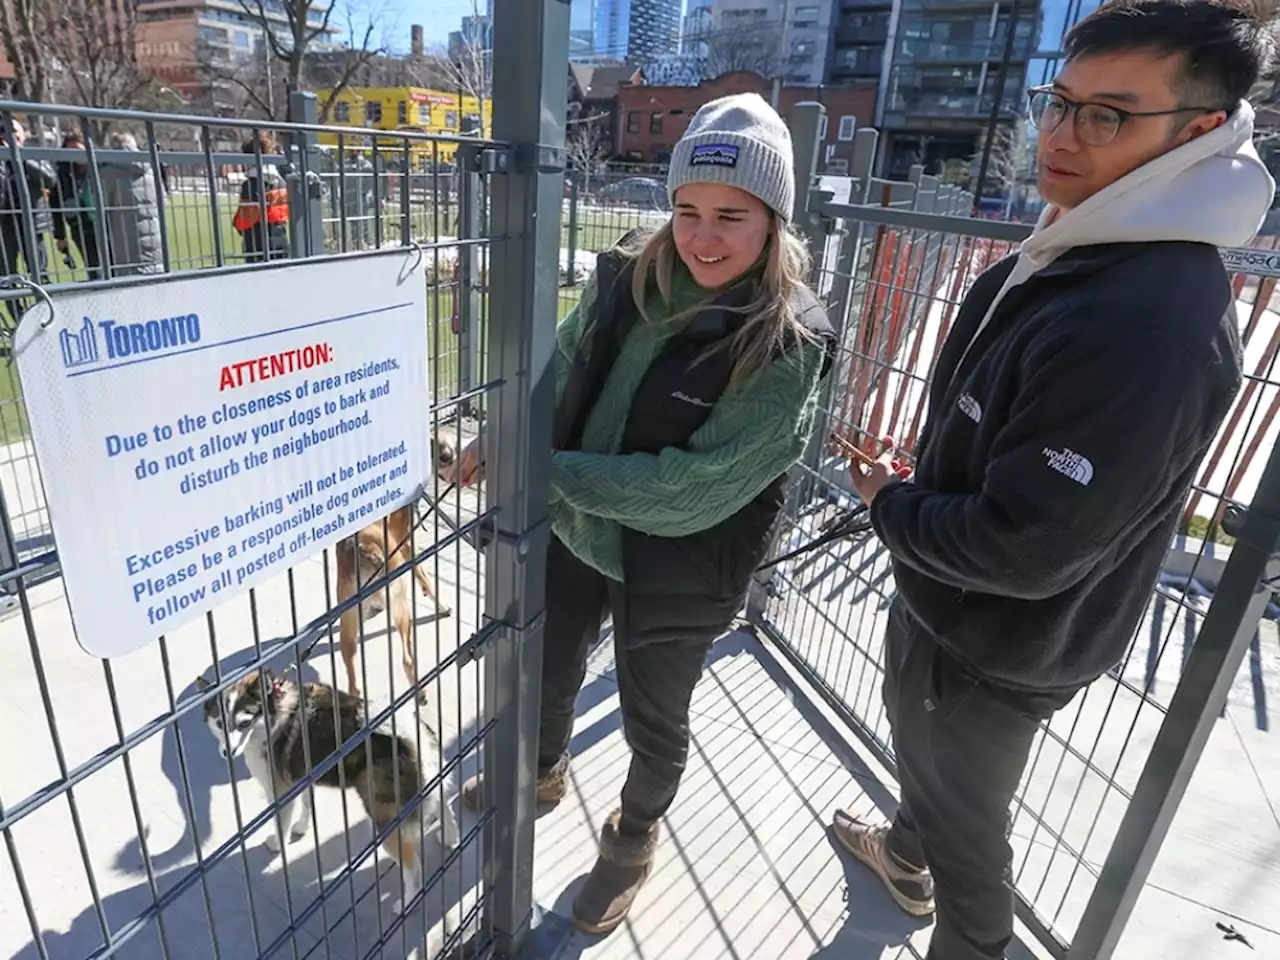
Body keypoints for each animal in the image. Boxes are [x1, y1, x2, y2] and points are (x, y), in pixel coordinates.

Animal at [337, 440, 458, 701]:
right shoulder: (407, 546)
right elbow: (425, 578)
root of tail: (363, 548)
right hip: (401, 607)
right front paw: (442, 605)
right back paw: (420, 691)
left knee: (351, 673)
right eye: (445, 453)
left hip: (347, 623)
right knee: (407, 659)